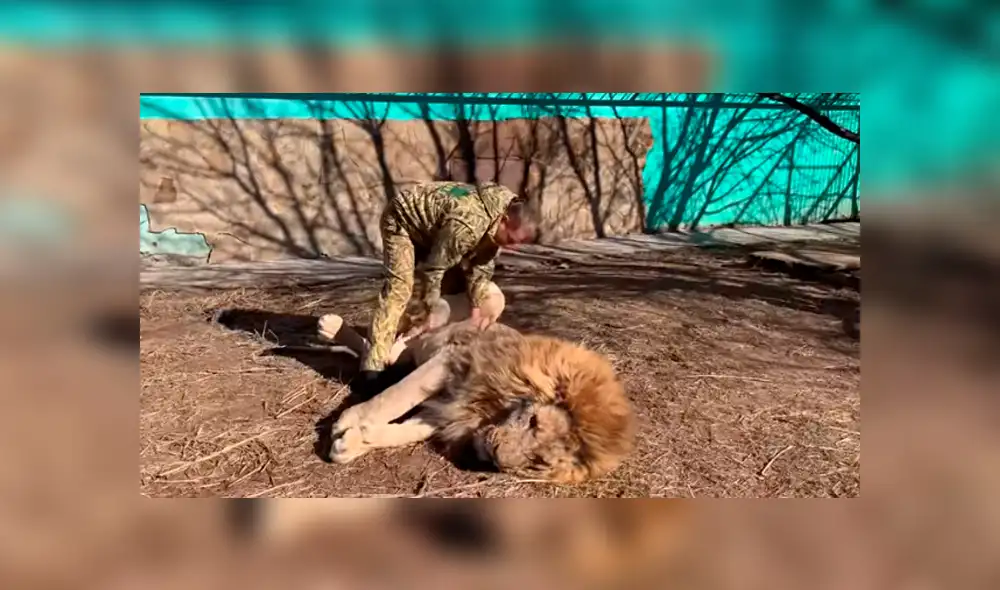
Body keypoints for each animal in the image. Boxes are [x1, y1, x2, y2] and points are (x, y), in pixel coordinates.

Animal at [317, 283, 635, 484]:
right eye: (533, 422)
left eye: (539, 461)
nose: (495, 454)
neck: (492, 407)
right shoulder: (452, 360)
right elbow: (395, 397)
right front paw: (349, 419)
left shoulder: (448, 411)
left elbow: (402, 431)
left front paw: (353, 442)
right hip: (480, 300)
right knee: (395, 344)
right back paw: (331, 326)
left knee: (390, 353)